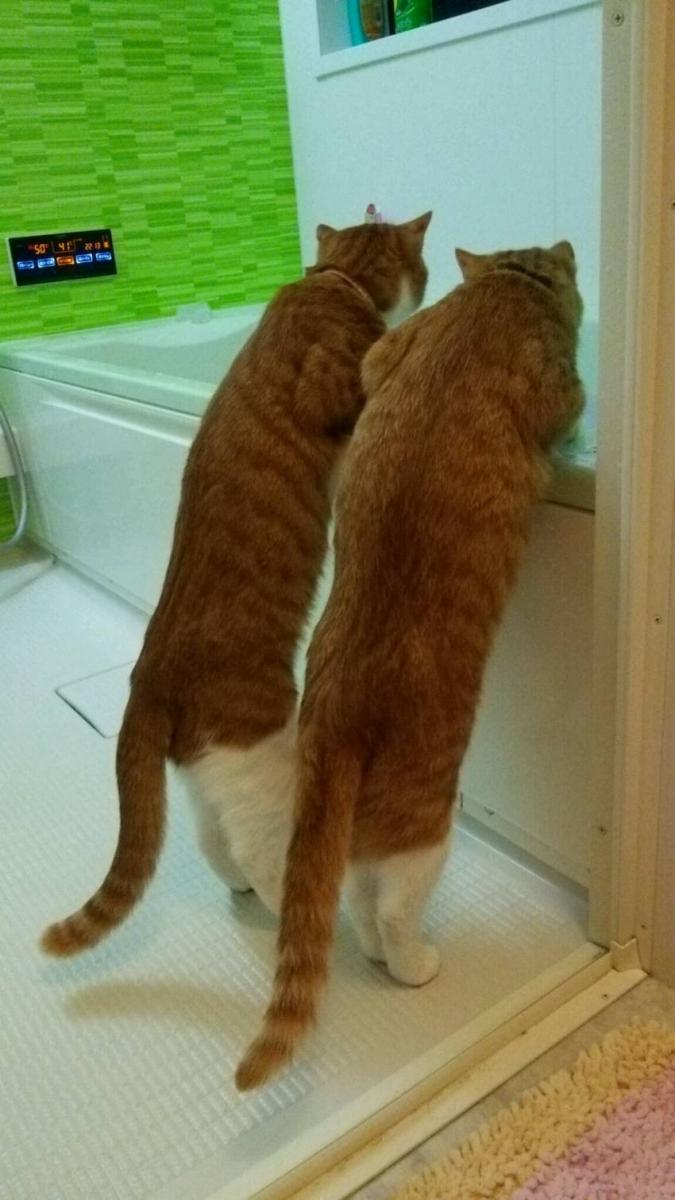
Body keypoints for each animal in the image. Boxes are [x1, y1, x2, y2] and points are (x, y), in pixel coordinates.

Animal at [40, 211, 432, 956]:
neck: (331, 281)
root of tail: (148, 679)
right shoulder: (333, 385)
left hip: (207, 773)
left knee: (209, 840)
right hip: (258, 752)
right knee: (252, 845)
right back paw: (294, 916)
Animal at [236, 240, 585, 1089]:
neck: (497, 294)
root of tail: (331, 715)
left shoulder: (388, 352)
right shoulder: (557, 384)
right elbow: (571, 402)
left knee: (357, 897)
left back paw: (370, 953)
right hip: (426, 814)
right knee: (389, 903)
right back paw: (413, 964)